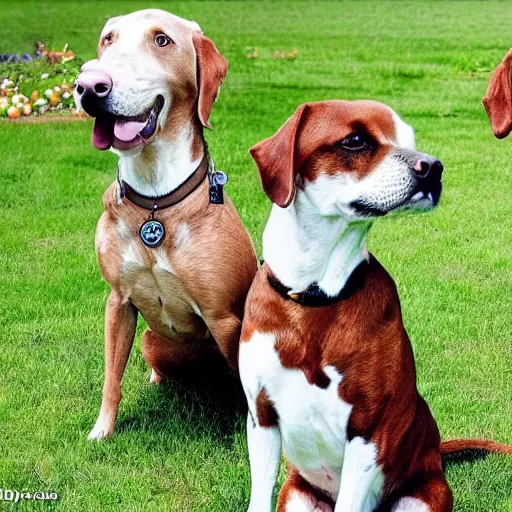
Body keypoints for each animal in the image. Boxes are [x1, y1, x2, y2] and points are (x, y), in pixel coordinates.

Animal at [74, 9, 258, 440]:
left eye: (162, 40)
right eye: (108, 39)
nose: (89, 86)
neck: (156, 202)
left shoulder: (225, 318)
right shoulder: (118, 301)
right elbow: (112, 377)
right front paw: (102, 430)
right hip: (150, 340)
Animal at [241, 101, 512, 512]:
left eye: (409, 139)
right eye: (355, 140)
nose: (433, 167)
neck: (315, 294)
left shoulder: (368, 433)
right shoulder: (261, 419)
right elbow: (259, 495)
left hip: (422, 498)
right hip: (297, 495)